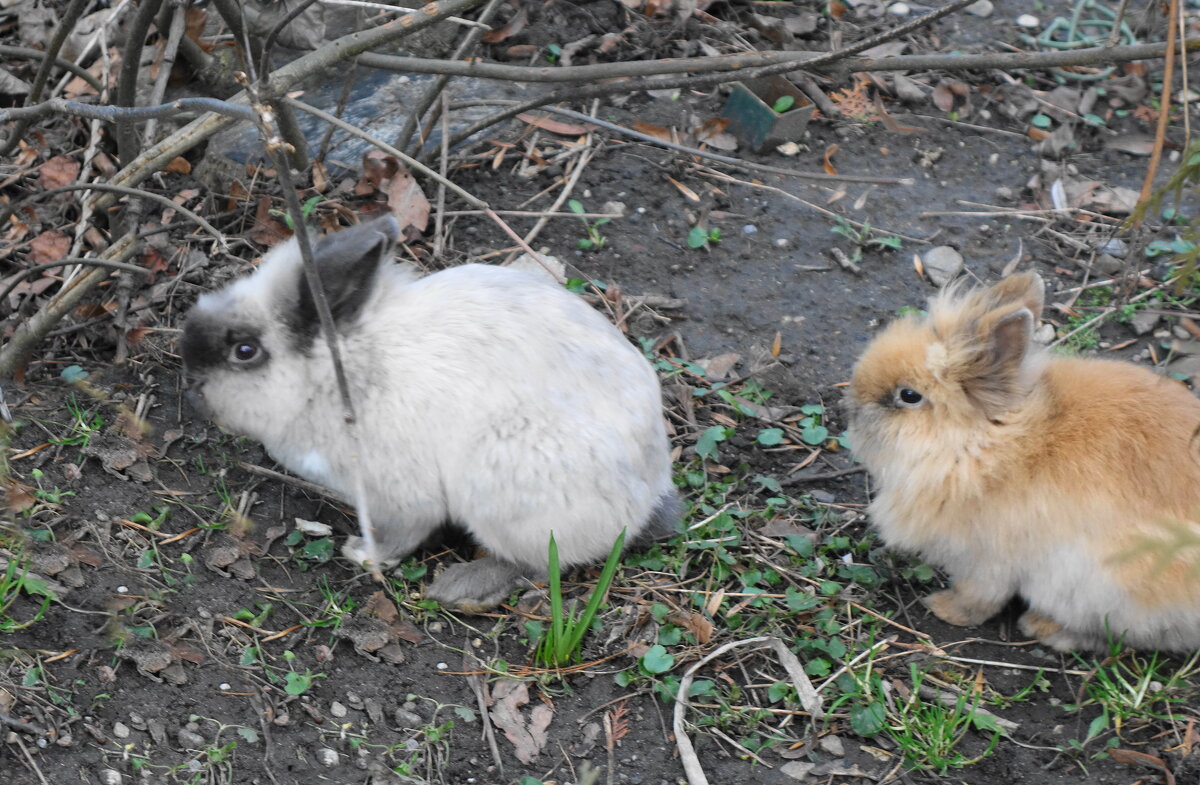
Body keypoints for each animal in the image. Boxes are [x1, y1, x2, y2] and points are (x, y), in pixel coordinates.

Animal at [182, 217, 681, 614]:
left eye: (245, 351)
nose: (189, 387)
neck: (340, 372)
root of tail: (647, 495)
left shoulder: (398, 496)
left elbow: (402, 535)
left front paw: (362, 554)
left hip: (505, 491)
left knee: (537, 562)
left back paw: (460, 588)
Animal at [844, 273, 1200, 652]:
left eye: (909, 396)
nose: (851, 409)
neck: (981, 444)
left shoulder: (986, 561)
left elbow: (978, 598)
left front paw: (943, 609)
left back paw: (1039, 626)